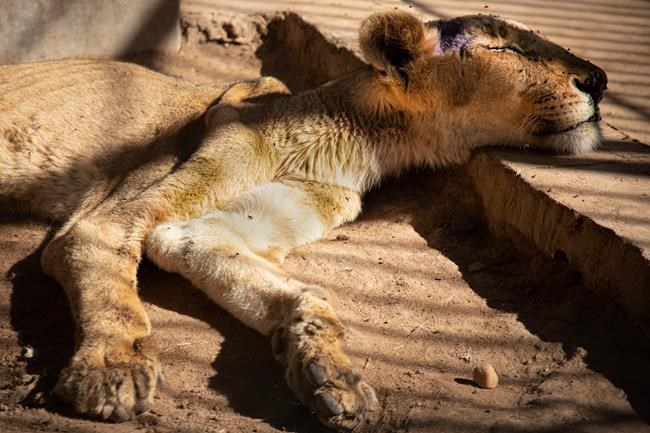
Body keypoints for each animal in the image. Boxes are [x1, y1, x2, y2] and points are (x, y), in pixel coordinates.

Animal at [0, 10, 606, 431]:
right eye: (504, 46)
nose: (599, 79)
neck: (359, 140)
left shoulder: (198, 229)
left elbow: (298, 291)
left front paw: (332, 376)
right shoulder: (113, 214)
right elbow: (108, 276)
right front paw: (112, 370)